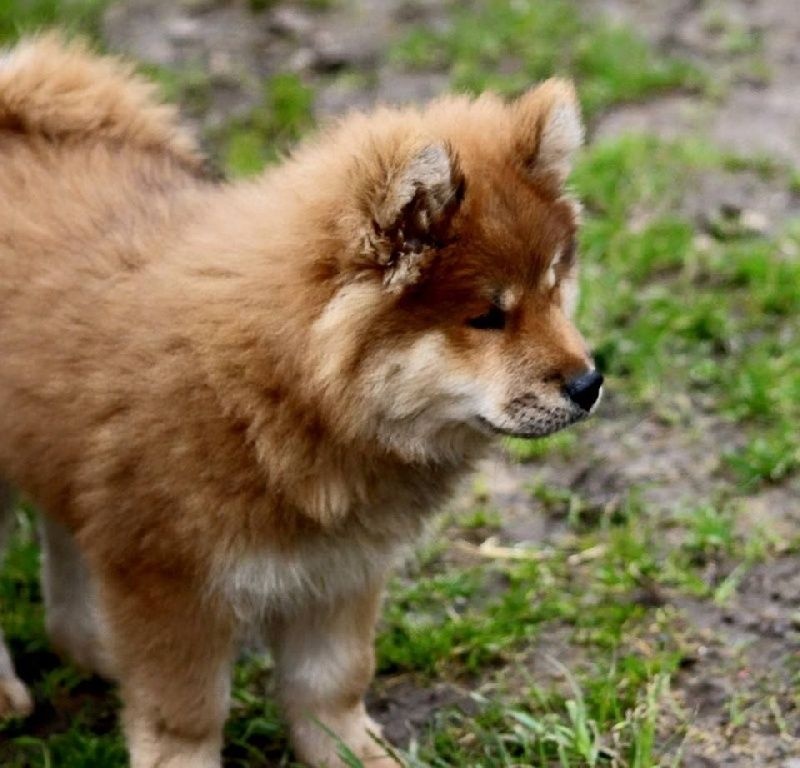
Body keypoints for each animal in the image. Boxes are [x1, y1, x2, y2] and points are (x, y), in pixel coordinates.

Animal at [0, 36, 600, 768]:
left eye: (555, 285)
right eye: (487, 316)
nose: (589, 383)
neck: (280, 393)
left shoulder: (340, 569)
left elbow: (330, 686)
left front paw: (355, 754)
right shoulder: (170, 579)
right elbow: (187, 715)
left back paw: (92, 648)